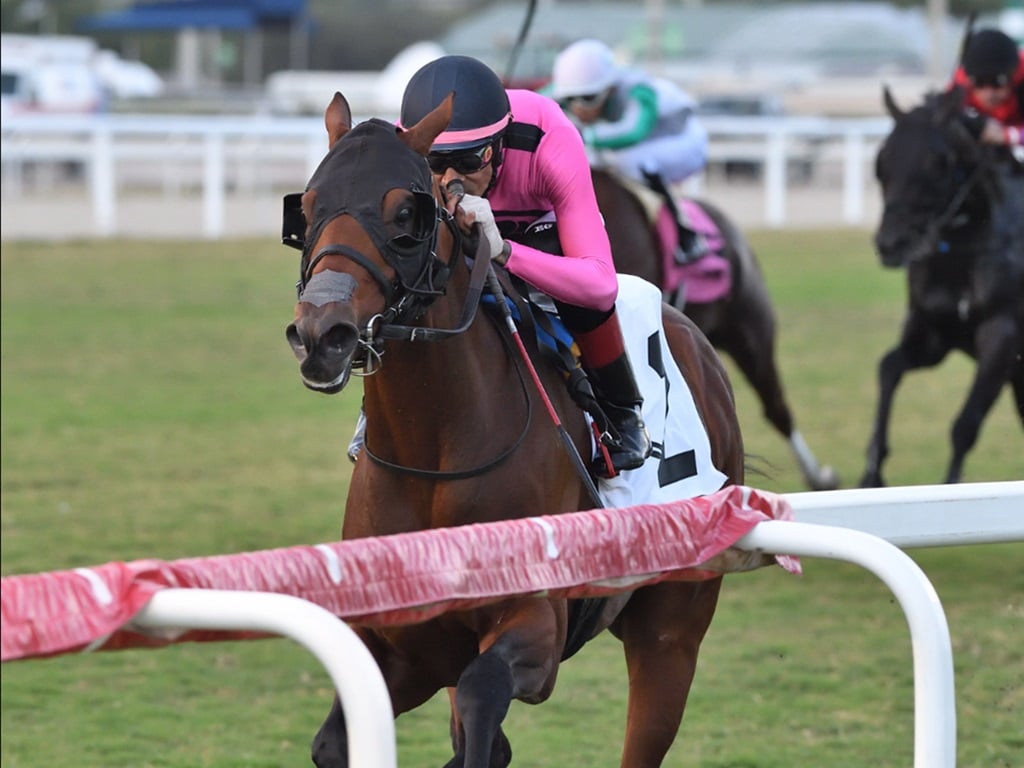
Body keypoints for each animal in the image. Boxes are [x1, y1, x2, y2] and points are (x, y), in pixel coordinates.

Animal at [284, 91, 749, 768]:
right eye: (308, 209)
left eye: (406, 214)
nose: (323, 335)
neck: (435, 454)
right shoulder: (410, 647)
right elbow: (335, 741)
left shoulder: (537, 623)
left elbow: (484, 699)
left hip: (672, 632)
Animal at [860, 85, 1019, 487]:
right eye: (882, 161)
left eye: (938, 163)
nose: (891, 244)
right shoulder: (934, 334)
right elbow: (888, 368)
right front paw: (872, 471)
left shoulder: (1001, 334)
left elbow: (965, 426)